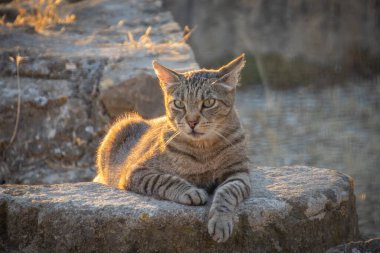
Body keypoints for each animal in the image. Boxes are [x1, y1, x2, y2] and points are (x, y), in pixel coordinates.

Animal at [93, 53, 251, 243]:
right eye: (179, 104)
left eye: (209, 102)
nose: (192, 122)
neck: (203, 149)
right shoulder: (137, 171)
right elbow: (165, 180)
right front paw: (190, 191)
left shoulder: (239, 173)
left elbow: (228, 192)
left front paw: (220, 221)